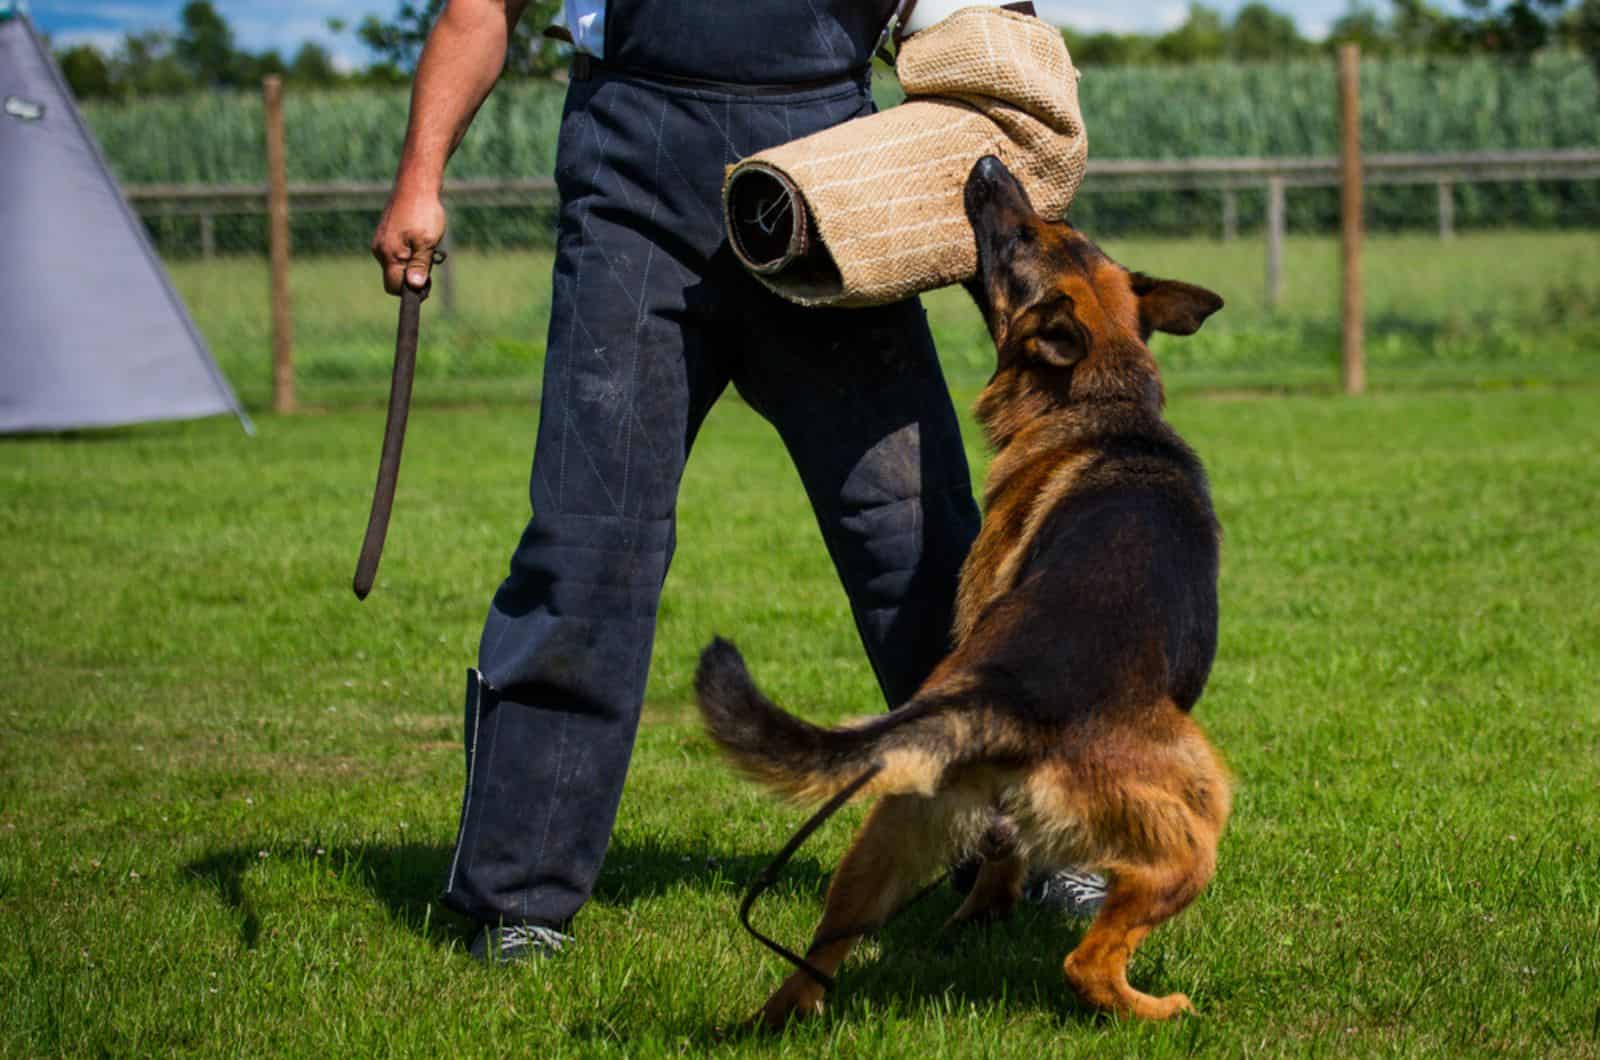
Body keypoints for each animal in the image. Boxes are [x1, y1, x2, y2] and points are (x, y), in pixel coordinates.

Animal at [694, 153, 1228, 1024]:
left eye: (1035, 236)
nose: (985, 164)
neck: (1105, 400)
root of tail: (1009, 698)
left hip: (889, 836)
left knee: (820, 955)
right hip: (1197, 822)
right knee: (1087, 961)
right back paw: (1155, 1008)